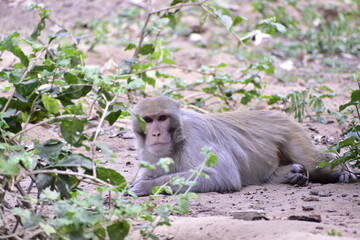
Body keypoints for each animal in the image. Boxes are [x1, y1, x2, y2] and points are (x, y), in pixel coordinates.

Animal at [129, 94, 354, 196]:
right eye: (148, 120)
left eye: (162, 118)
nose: (156, 133)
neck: (176, 141)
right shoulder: (149, 153)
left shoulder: (195, 137)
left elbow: (223, 176)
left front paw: (144, 187)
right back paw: (293, 174)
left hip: (291, 132)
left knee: (314, 162)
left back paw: (344, 171)